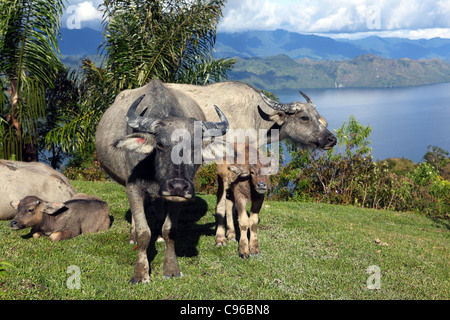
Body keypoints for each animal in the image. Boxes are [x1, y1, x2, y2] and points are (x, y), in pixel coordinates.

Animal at [95, 79, 229, 284]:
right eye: (159, 145)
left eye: (195, 147)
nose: (178, 186)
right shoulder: (133, 187)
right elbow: (143, 231)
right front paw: (140, 272)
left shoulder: (177, 198)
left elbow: (169, 230)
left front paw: (171, 268)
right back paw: (133, 236)